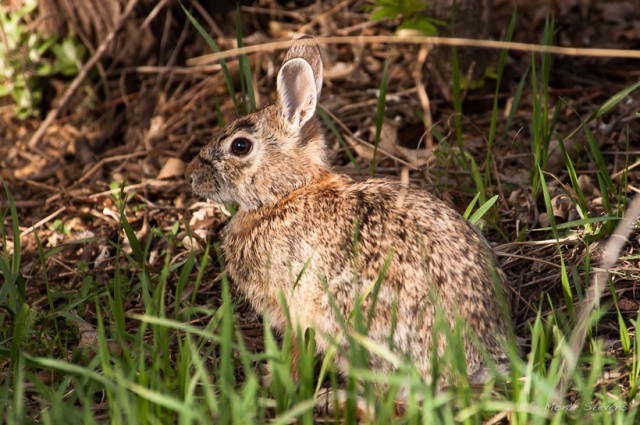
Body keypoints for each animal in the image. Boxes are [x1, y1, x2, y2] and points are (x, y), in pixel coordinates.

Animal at [185, 37, 510, 388]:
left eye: (240, 146)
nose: (191, 175)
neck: (285, 195)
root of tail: (474, 359)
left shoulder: (294, 306)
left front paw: (277, 381)